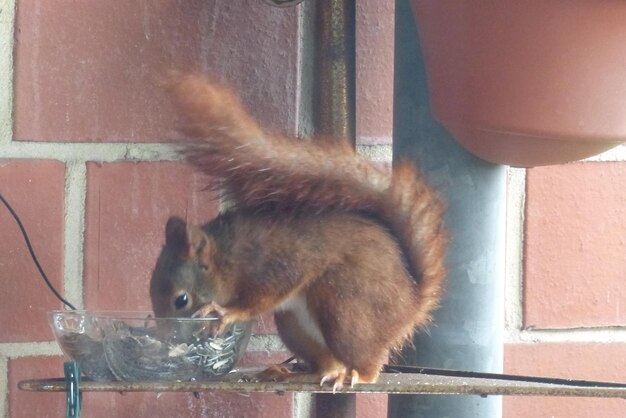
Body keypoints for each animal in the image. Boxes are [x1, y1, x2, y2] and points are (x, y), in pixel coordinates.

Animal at [149, 73, 446, 390]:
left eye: (181, 300)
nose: (167, 341)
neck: (229, 257)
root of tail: (412, 304)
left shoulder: (277, 264)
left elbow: (263, 297)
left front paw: (227, 312)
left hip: (345, 309)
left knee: (367, 360)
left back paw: (357, 375)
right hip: (294, 325)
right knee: (327, 363)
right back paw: (296, 372)